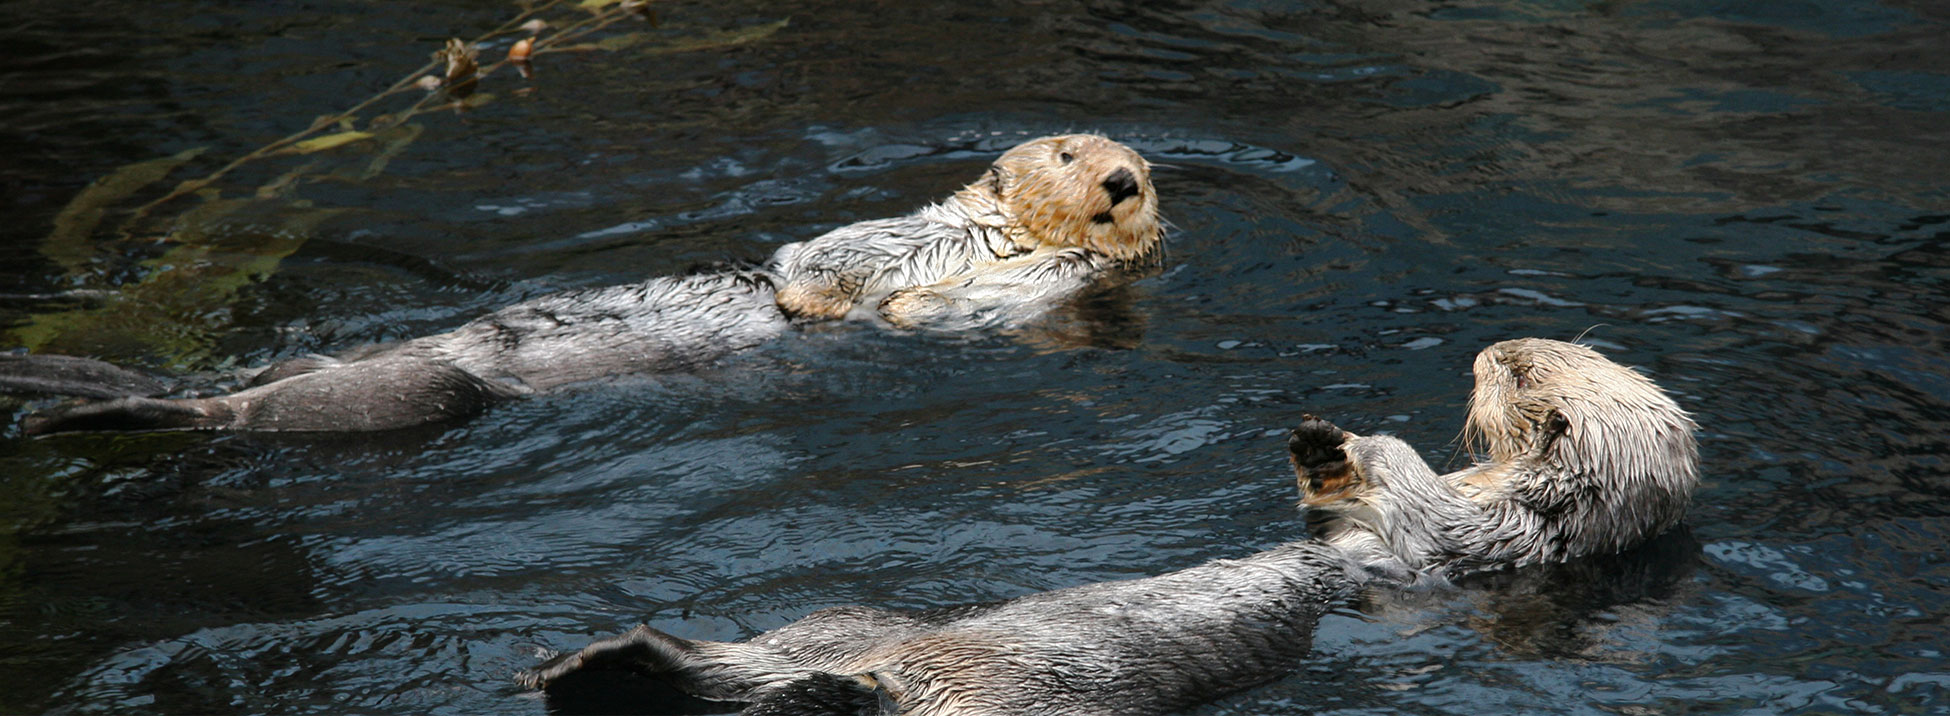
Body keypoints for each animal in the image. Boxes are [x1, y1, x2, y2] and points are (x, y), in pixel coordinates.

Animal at [19, 135, 1154, 437]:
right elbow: (829, 259)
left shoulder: (1049, 285)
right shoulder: (901, 233)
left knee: (258, 405)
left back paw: (93, 409)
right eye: (1067, 152)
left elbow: (954, 305)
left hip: (409, 393)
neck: (989, 247)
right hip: (399, 382)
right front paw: (807, 304)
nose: (1124, 180)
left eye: (1135, 159)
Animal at [518, 339, 1708, 714]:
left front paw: (1353, 439)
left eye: (1524, 370)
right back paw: (595, 661)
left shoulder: (1479, 546)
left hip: (1027, 700)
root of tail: (889, 667)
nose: (1485, 348)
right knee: (743, 674)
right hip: (838, 620)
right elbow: (1332, 508)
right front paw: (1313, 445)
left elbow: (1411, 502)